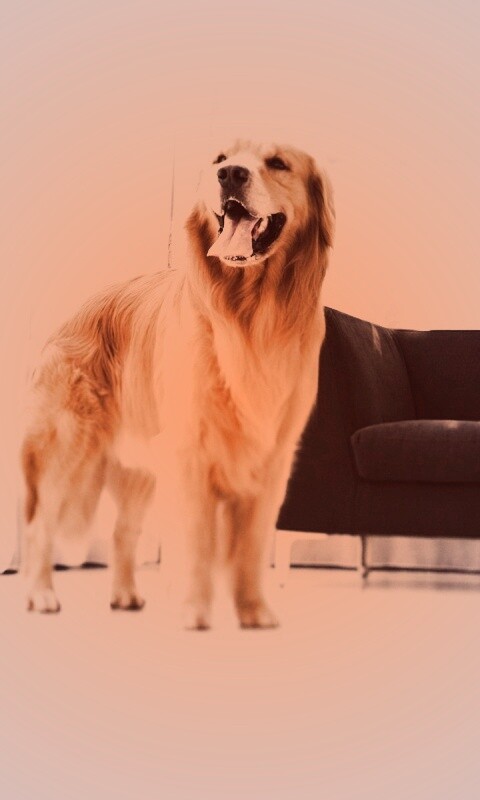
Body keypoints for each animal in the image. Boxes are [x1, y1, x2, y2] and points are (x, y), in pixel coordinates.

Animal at [20, 140, 335, 628]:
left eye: (279, 162)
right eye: (220, 159)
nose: (230, 175)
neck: (251, 314)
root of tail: (73, 313)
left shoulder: (271, 459)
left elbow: (250, 544)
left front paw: (254, 612)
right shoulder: (193, 452)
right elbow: (198, 540)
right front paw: (193, 611)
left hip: (138, 468)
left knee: (123, 532)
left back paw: (126, 596)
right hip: (70, 449)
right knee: (40, 526)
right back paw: (41, 594)